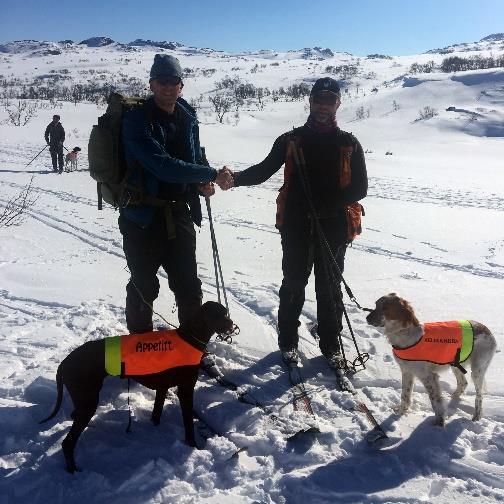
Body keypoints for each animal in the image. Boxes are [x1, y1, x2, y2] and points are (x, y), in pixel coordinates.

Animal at [39, 302, 234, 474]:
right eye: (219, 315)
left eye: (226, 313)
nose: (232, 325)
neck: (189, 338)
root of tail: (64, 362)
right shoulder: (185, 391)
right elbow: (189, 425)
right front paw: (193, 446)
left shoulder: (162, 389)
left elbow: (156, 414)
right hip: (88, 400)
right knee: (68, 442)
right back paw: (73, 471)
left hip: (84, 399)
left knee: (74, 418)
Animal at [366, 294, 496, 428]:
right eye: (376, 305)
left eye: (385, 307)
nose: (367, 318)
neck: (404, 334)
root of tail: (486, 330)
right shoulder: (407, 372)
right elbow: (405, 395)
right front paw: (401, 412)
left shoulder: (428, 376)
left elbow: (435, 402)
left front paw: (438, 424)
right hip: (456, 364)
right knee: (463, 383)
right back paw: (454, 398)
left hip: (477, 370)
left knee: (479, 396)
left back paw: (476, 417)